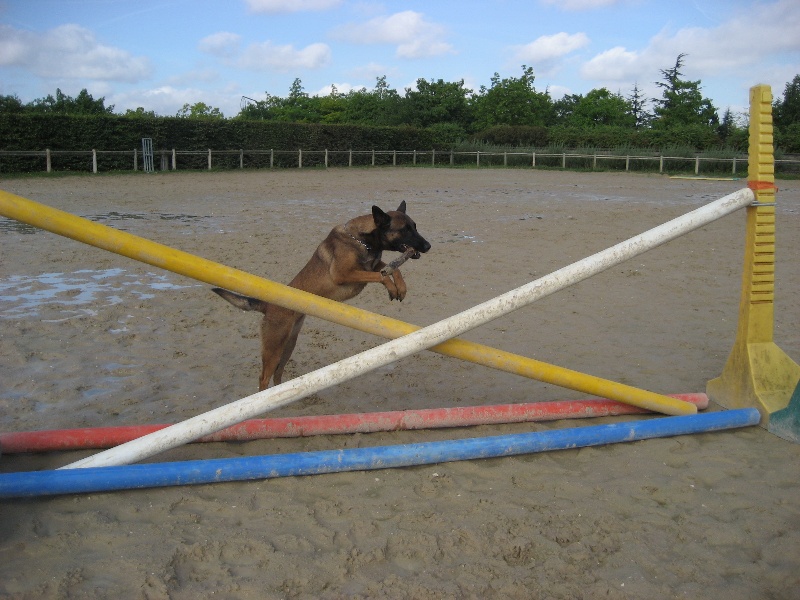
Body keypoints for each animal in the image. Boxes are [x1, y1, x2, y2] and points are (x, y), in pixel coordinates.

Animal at [209, 199, 428, 392]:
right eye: (405, 229)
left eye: (415, 226)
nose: (428, 246)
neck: (363, 239)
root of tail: (267, 305)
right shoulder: (344, 273)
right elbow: (382, 276)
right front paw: (392, 288)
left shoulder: (371, 265)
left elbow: (392, 270)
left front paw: (400, 288)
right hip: (274, 346)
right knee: (264, 378)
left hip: (288, 345)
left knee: (278, 373)